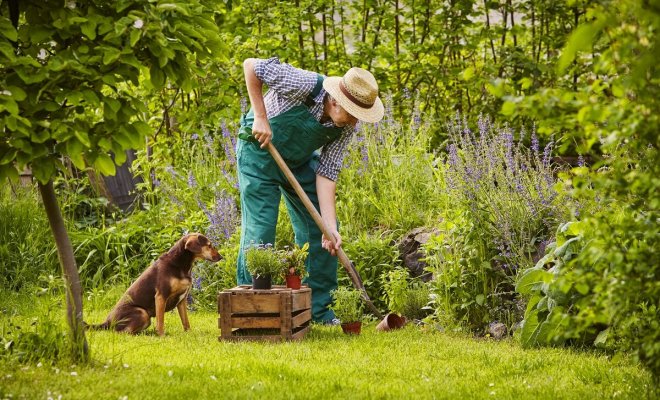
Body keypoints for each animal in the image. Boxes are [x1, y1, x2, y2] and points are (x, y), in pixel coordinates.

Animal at [87, 233, 223, 336]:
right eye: (209, 246)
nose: (221, 257)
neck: (180, 265)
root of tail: (107, 322)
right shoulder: (161, 296)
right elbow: (160, 320)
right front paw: (162, 335)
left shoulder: (182, 300)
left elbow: (186, 321)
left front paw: (189, 333)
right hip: (142, 313)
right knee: (122, 332)